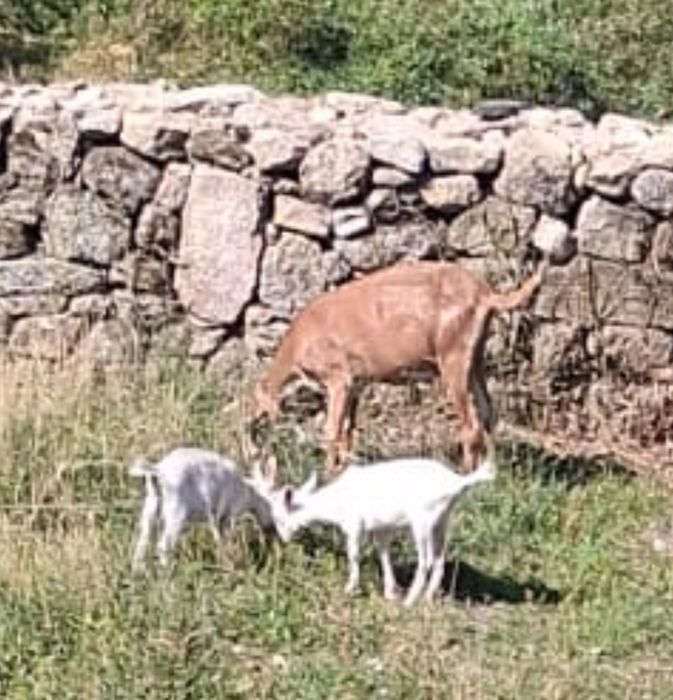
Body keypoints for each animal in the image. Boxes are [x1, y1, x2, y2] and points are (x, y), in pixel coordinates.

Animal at [128, 447, 276, 572]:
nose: (270, 529)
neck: (249, 490)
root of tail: (159, 469)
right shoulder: (229, 513)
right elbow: (224, 539)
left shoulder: (216, 516)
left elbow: (219, 539)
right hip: (176, 513)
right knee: (164, 545)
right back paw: (168, 577)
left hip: (151, 507)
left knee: (142, 543)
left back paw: (138, 573)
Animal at [252, 443, 496, 606]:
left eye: (279, 517)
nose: (283, 539)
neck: (335, 502)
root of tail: (457, 482)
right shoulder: (382, 528)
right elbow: (383, 554)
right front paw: (389, 592)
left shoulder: (353, 525)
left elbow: (353, 555)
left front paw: (350, 588)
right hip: (443, 518)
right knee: (439, 558)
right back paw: (427, 598)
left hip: (422, 520)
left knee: (425, 560)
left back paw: (410, 601)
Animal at [253, 259, 546, 473]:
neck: (298, 341)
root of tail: (484, 294)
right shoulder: (356, 385)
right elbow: (347, 431)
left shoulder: (338, 378)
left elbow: (331, 431)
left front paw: (326, 475)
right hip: (475, 359)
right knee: (487, 414)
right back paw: (490, 473)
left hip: (453, 357)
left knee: (471, 426)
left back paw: (464, 475)